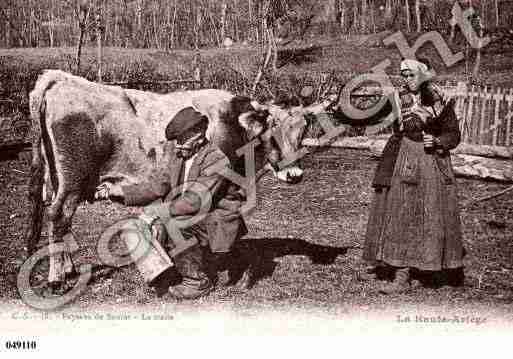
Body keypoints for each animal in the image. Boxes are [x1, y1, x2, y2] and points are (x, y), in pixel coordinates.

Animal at [26, 70, 306, 290]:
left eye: (302, 132)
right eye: (271, 132)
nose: (295, 174)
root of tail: (60, 78)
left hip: (55, 179)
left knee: (58, 218)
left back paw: (68, 268)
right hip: (71, 181)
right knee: (58, 217)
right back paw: (56, 279)